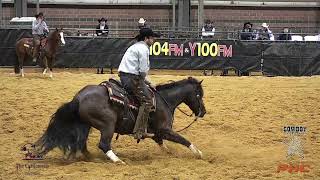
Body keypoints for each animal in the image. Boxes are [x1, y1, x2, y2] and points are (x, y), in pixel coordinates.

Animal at [33, 76, 206, 164]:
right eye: (199, 95)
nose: (203, 112)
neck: (164, 101)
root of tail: (78, 98)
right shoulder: (164, 129)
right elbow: (183, 139)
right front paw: (198, 153)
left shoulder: (156, 132)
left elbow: (162, 144)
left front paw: (170, 153)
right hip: (107, 125)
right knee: (103, 144)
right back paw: (117, 161)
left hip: (85, 125)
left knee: (81, 143)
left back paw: (91, 158)